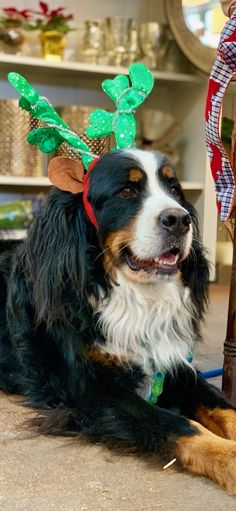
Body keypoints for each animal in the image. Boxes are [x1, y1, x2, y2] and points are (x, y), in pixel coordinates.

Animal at [0, 150, 236, 494]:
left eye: (175, 190)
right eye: (126, 191)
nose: (180, 219)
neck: (136, 298)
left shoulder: (173, 365)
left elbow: (223, 407)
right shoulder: (95, 392)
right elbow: (177, 423)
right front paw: (230, 458)